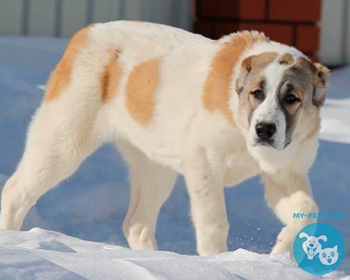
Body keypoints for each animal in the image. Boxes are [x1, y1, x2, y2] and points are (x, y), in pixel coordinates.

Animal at [0, 20, 328, 258]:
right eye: (256, 93)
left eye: (291, 98)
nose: (264, 129)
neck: (239, 119)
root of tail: (86, 32)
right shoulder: (204, 161)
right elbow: (213, 221)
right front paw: (217, 261)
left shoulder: (285, 175)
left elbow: (308, 211)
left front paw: (282, 250)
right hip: (63, 140)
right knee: (15, 191)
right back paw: (11, 239)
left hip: (155, 166)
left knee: (137, 223)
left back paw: (157, 259)